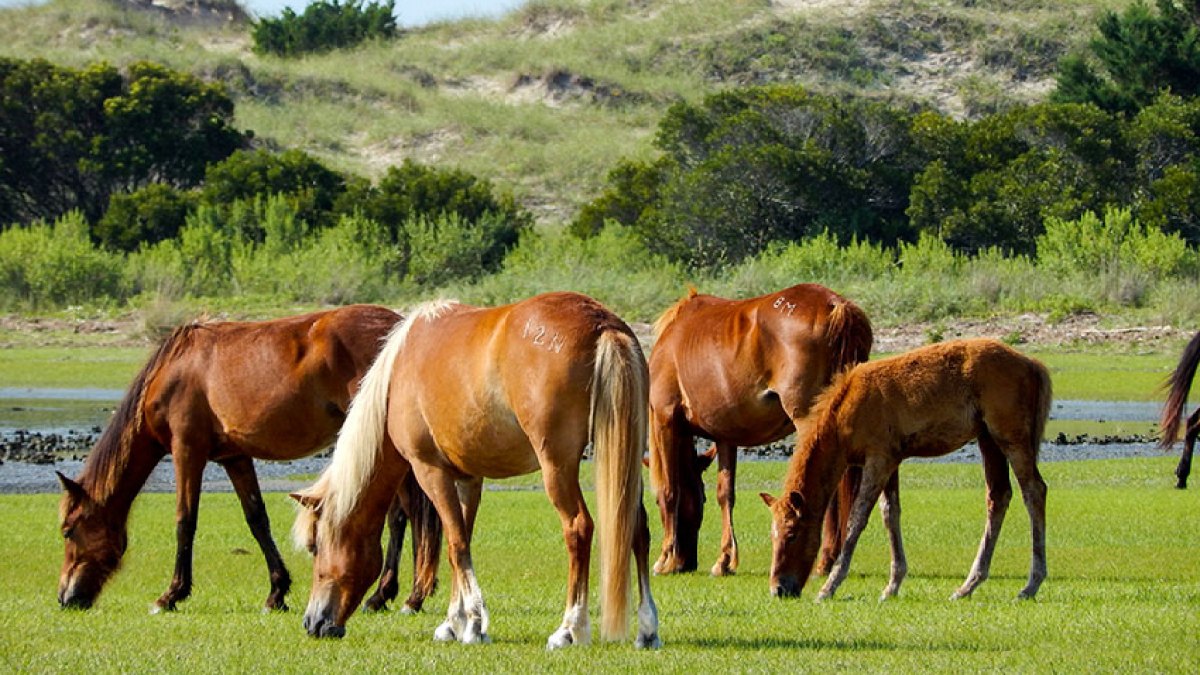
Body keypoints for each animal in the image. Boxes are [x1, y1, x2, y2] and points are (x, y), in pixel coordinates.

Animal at [56, 305, 441, 610]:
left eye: (68, 531)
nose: (65, 598)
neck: (174, 371)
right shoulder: (235, 457)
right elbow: (257, 519)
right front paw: (277, 591)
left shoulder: (187, 450)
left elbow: (185, 520)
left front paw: (172, 594)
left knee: (403, 514)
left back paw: (399, 596)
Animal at [294, 291, 662, 648]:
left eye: (316, 548)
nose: (313, 623)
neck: (398, 374)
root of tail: (603, 323)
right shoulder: (468, 479)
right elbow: (461, 542)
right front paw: (453, 622)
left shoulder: (431, 472)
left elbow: (456, 544)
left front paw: (473, 622)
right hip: (625, 461)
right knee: (637, 529)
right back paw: (647, 629)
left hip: (557, 467)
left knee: (578, 528)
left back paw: (569, 628)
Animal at [648, 282, 873, 571]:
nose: (687, 563)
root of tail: (834, 304)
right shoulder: (725, 436)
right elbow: (725, 494)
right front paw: (724, 559)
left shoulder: (665, 421)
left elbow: (670, 490)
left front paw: (664, 558)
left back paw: (825, 559)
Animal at [758, 338, 1051, 600]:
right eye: (772, 536)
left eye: (792, 534)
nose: (779, 589)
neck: (845, 412)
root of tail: (1031, 364)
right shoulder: (892, 460)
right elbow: (890, 514)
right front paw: (892, 585)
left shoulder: (878, 459)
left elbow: (857, 518)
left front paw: (829, 586)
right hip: (987, 438)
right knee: (998, 496)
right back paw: (968, 586)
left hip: (1010, 437)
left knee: (1034, 491)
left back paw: (1031, 584)